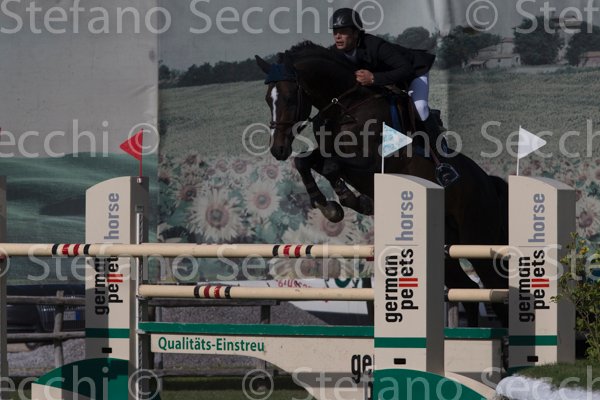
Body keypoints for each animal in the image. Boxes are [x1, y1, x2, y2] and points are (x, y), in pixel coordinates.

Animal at [255, 41, 508, 326]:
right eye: (268, 99)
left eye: (289, 98)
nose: (278, 149)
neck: (348, 106)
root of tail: (489, 183)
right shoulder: (329, 153)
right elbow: (305, 163)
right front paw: (329, 207)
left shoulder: (374, 163)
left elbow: (332, 167)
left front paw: (352, 201)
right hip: (446, 247)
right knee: (468, 289)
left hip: (477, 238)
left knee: (495, 289)